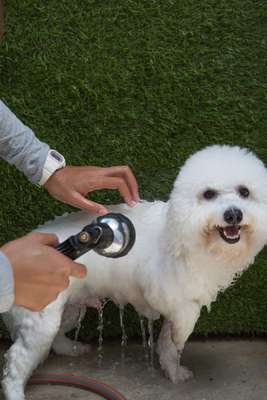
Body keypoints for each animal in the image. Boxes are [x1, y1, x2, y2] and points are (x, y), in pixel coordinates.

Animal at [2, 145, 267, 400]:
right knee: (15, 363)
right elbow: (180, 333)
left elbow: (167, 345)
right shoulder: (175, 302)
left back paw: (72, 348)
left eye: (244, 192)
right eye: (209, 194)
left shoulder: (176, 306)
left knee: (56, 339)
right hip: (42, 319)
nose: (234, 214)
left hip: (69, 309)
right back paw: (15, 392)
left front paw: (173, 372)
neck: (182, 233)